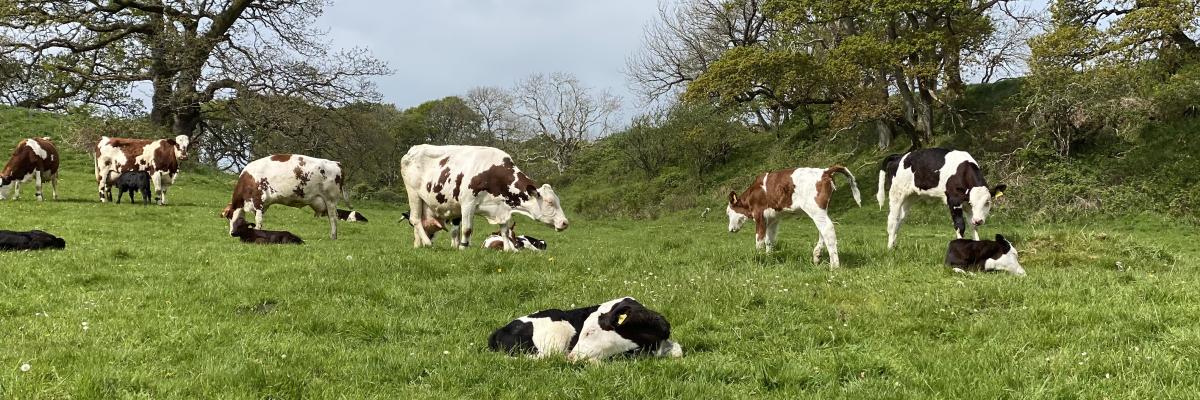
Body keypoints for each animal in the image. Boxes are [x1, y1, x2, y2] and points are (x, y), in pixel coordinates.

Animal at [222, 153, 350, 237]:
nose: (231, 233)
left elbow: (258, 221)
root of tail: (336, 163)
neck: (250, 178)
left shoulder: (258, 200)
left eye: (230, 217)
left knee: (333, 218)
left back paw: (333, 237)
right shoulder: (262, 205)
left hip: (331, 200)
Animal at [400, 143, 568, 249]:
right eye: (550, 202)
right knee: (415, 219)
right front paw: (463, 248)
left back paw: (418, 245)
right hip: (413, 193)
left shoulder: (501, 207)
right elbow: (467, 229)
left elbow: (505, 230)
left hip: (425, 203)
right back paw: (428, 243)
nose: (565, 223)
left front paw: (509, 249)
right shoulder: (468, 204)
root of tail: (412, 150)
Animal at [720, 163, 864, 266]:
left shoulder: (759, 215)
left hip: (815, 209)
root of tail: (824, 171)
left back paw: (834, 265)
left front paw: (758, 257)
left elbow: (759, 239)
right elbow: (769, 240)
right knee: (823, 230)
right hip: (821, 209)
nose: (730, 229)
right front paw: (768, 257)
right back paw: (817, 256)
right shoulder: (773, 218)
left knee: (828, 229)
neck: (753, 194)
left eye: (728, 212)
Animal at [878, 147, 1008, 247]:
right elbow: (960, 226)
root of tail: (899, 156)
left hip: (911, 196)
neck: (962, 171)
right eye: (972, 203)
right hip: (896, 193)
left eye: (987, 202)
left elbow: (972, 226)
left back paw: (894, 245)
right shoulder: (954, 201)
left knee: (901, 218)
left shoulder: (966, 204)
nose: (979, 220)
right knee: (893, 218)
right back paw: (889, 247)